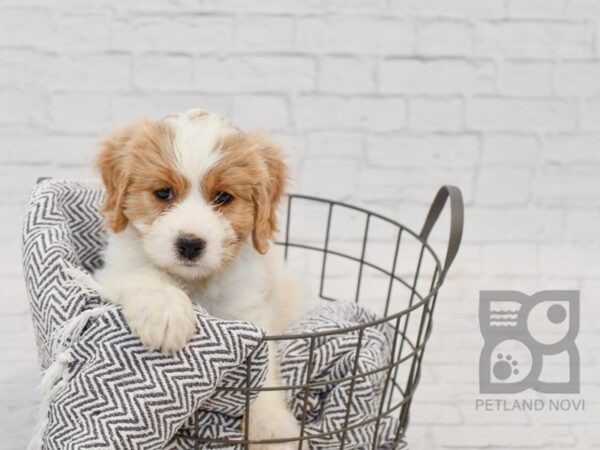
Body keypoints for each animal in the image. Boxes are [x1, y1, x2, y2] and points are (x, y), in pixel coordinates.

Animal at [94, 108, 312, 446]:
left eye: (222, 197)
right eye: (163, 192)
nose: (189, 244)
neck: (197, 282)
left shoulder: (249, 312)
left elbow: (263, 372)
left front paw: (271, 424)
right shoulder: (116, 269)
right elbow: (147, 275)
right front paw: (166, 314)